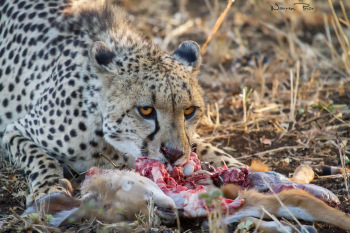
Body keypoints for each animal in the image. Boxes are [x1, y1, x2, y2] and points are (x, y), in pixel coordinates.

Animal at [0, 0, 243, 207]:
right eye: (145, 110)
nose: (173, 154)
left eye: (190, 110)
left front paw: (237, 168)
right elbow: (41, 159)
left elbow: (204, 147)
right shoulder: (13, 130)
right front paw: (49, 189)